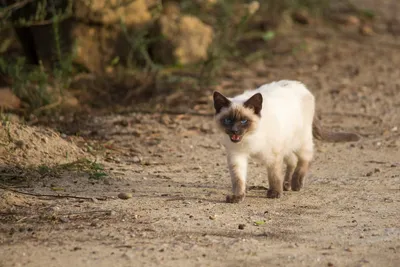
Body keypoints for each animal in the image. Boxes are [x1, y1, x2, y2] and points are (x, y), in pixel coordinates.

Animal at [212, 79, 360, 203]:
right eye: (228, 120)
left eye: (243, 121)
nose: (235, 131)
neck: (249, 138)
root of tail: (301, 86)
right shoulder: (237, 156)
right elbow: (238, 179)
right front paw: (237, 197)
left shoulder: (273, 156)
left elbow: (274, 176)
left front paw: (275, 193)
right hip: (287, 144)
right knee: (293, 161)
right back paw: (287, 184)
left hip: (300, 142)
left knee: (305, 159)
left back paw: (296, 184)